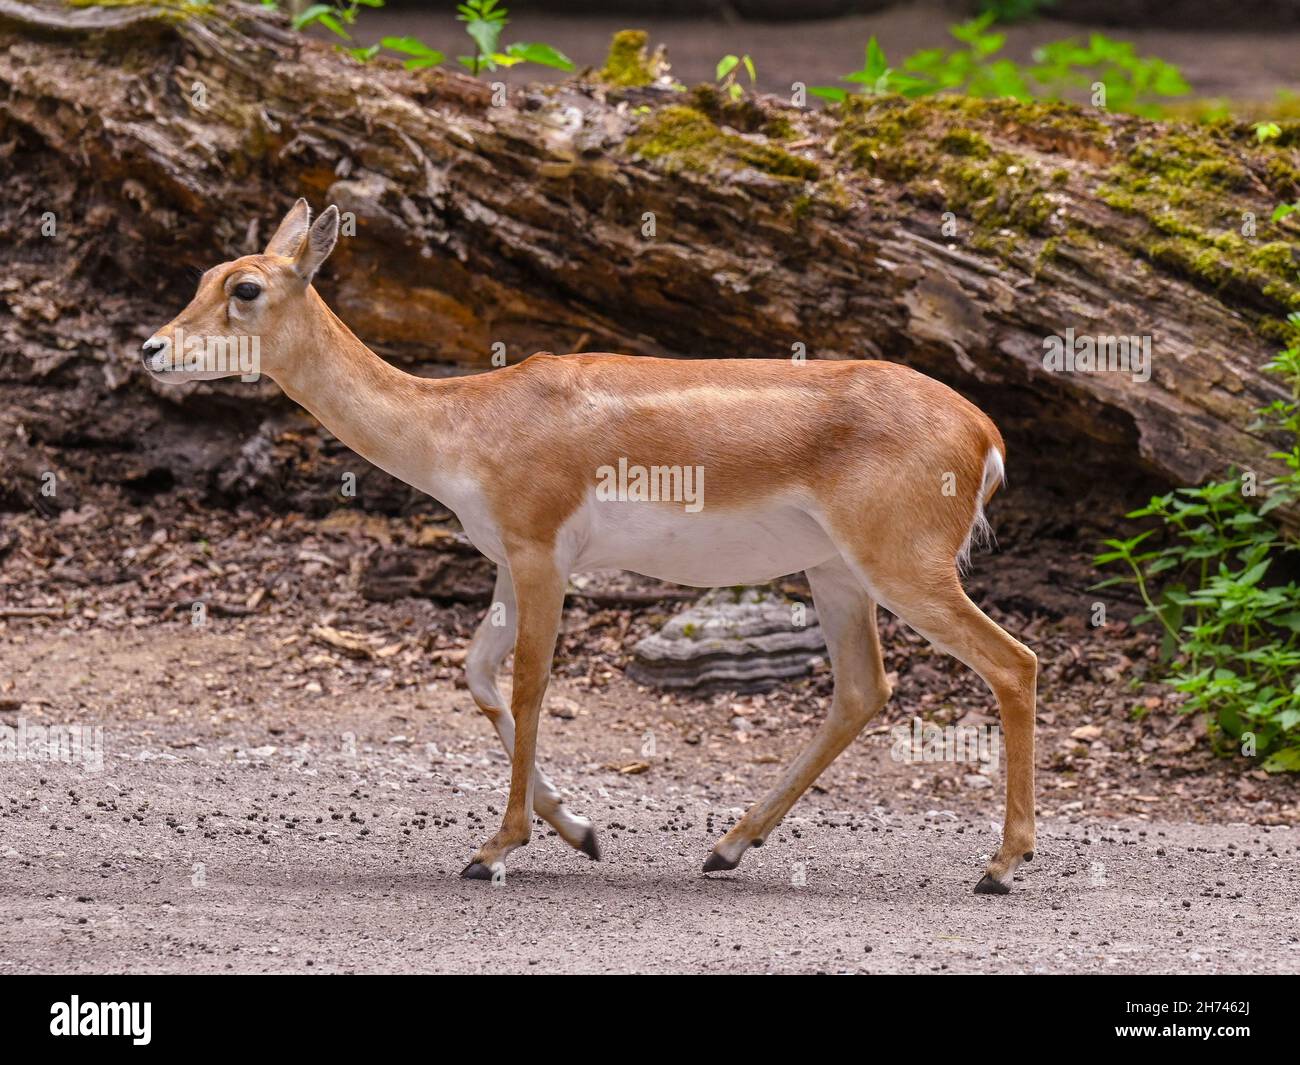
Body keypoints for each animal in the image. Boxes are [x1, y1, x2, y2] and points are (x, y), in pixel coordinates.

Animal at [142, 200, 1034, 889]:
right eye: (203, 274)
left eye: (246, 286)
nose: (153, 347)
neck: (460, 424)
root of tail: (987, 437)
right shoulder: (510, 558)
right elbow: (477, 672)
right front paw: (583, 829)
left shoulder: (541, 551)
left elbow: (532, 683)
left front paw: (494, 849)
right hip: (836, 573)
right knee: (863, 687)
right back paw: (726, 847)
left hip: (904, 565)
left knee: (1012, 661)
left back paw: (1000, 865)